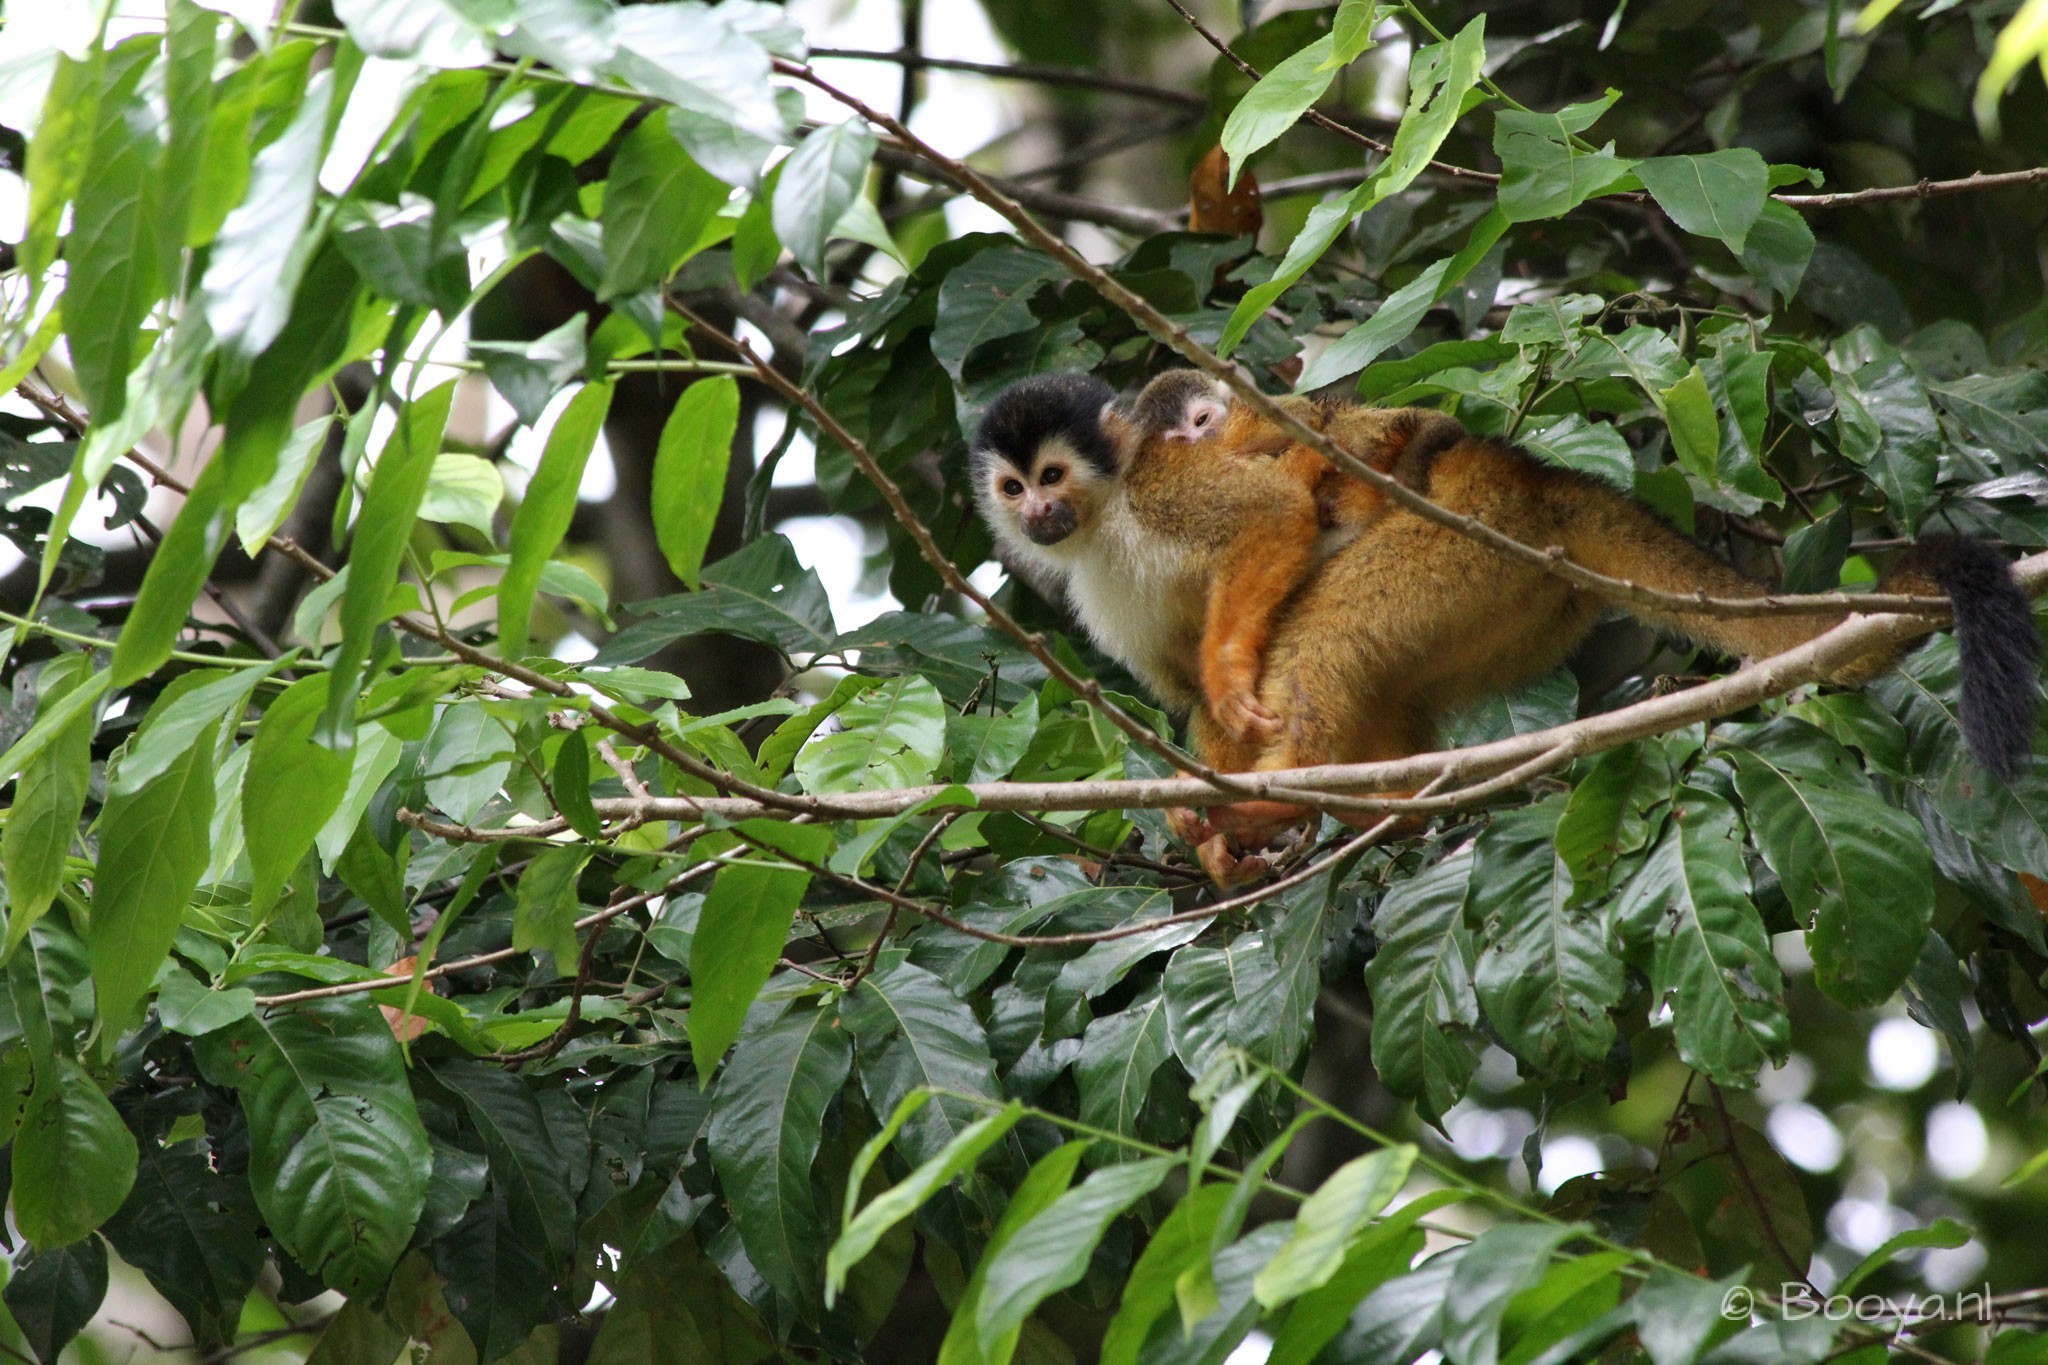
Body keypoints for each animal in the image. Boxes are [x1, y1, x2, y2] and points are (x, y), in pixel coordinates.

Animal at [973, 370, 2040, 884]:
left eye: (1054, 475)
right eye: (1014, 488)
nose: (1039, 514)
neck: (1107, 518)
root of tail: (1535, 479)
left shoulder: (1167, 482)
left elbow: (1270, 517)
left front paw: (1234, 687)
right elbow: (1188, 694)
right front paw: (1209, 830)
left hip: (1468, 543)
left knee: (1327, 621)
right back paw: (1369, 808)